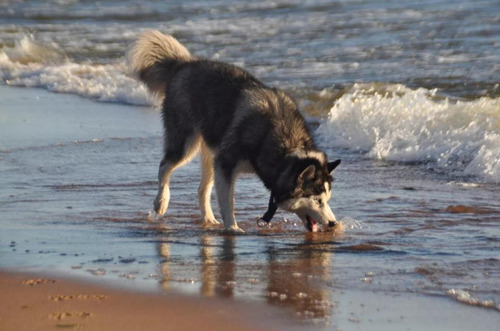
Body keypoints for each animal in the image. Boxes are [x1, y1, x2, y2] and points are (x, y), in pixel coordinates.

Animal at [127, 31, 342, 233]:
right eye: (317, 200)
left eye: (328, 199)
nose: (333, 223)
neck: (283, 146)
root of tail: (185, 64)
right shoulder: (226, 163)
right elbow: (228, 202)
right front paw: (232, 227)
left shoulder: (223, 163)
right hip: (187, 143)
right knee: (165, 165)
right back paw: (161, 202)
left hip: (211, 152)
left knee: (202, 188)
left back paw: (208, 218)